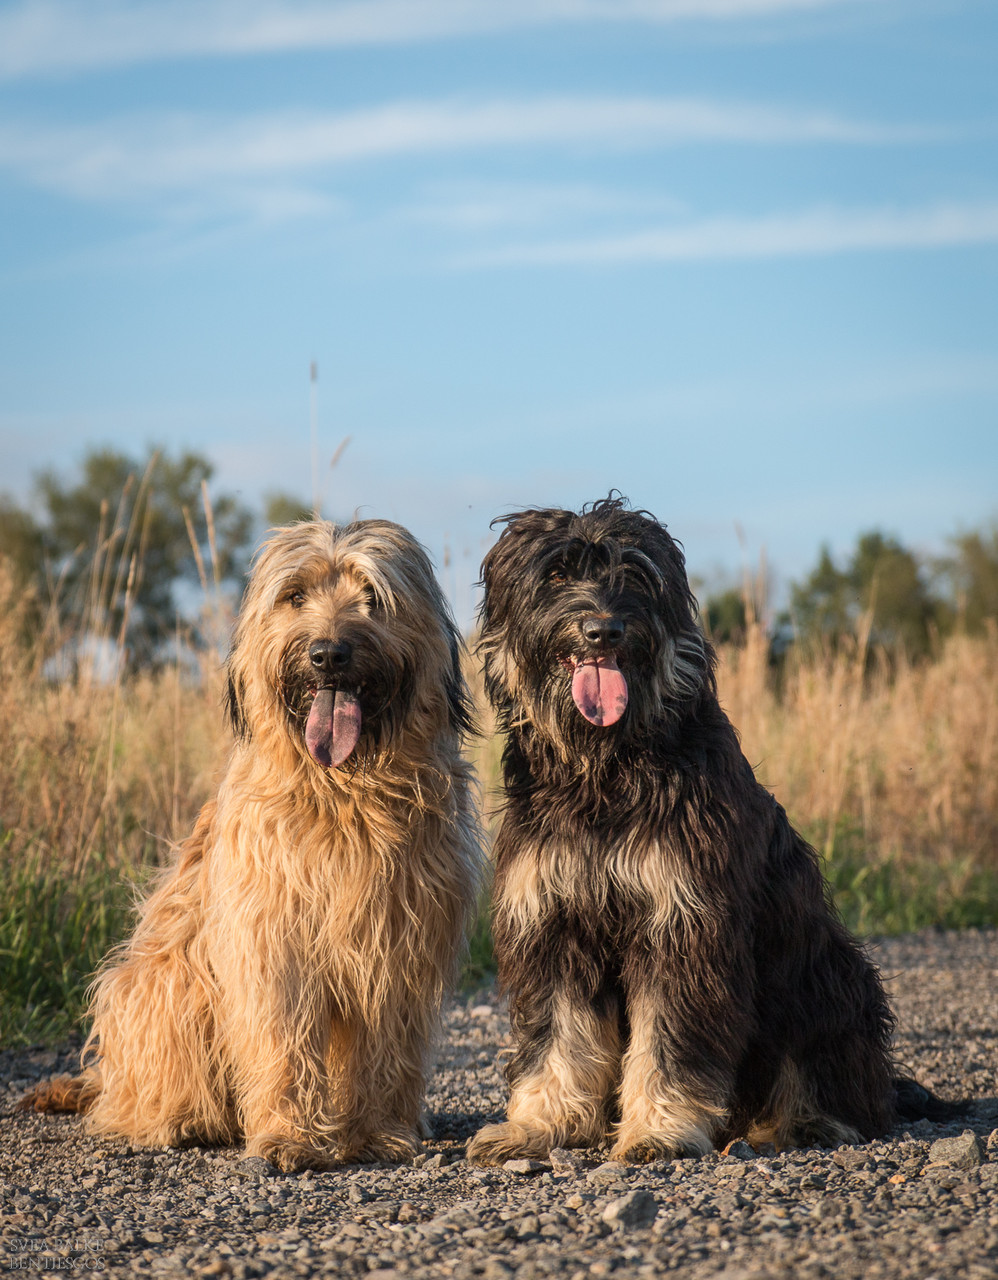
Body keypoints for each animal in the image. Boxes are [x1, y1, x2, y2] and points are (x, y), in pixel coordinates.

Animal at [470, 499, 951, 1172]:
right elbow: (556, 1038)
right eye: (558, 573)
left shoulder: (686, 924)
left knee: (834, 1075)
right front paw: (539, 1124)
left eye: (635, 575)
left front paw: (658, 1130)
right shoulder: (554, 925)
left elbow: (671, 1039)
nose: (603, 631)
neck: (606, 768)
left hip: (827, 980)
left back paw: (805, 1122)